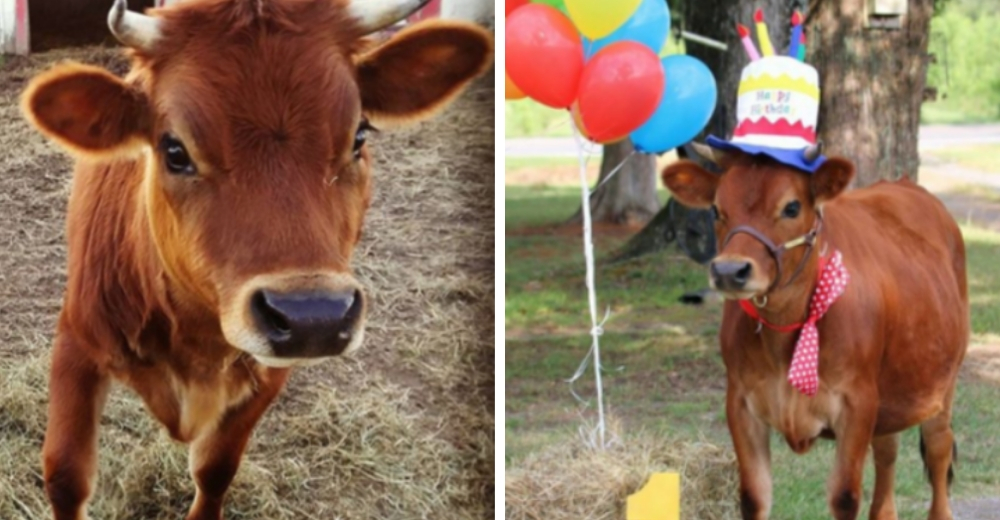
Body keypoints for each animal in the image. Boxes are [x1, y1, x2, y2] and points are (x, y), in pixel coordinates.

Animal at [20, 0, 492, 516]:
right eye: (174, 150)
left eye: (359, 136)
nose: (314, 316)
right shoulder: (76, 343)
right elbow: (66, 475)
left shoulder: (268, 374)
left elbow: (216, 468)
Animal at [664, 149, 968, 520]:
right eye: (715, 210)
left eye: (792, 207)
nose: (729, 270)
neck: (783, 334)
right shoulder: (740, 403)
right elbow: (753, 498)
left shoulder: (857, 403)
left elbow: (844, 497)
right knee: (887, 452)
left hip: (943, 384)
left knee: (939, 451)